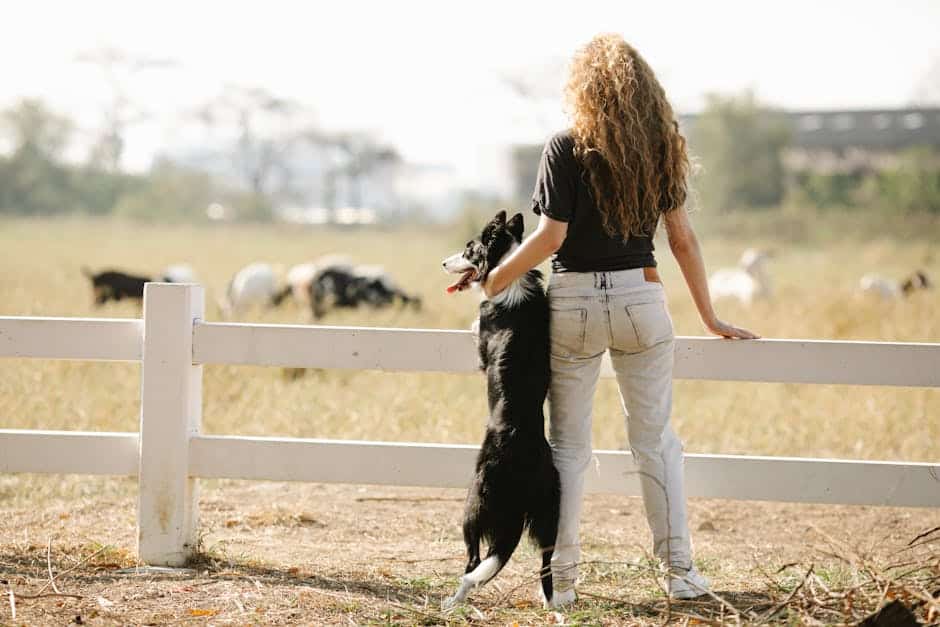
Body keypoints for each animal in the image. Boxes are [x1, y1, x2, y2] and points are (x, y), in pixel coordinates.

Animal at [440, 210, 560, 608]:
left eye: (468, 250)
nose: (443, 262)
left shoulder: (482, 348)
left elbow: (478, 327)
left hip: (474, 502)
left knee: (474, 560)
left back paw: (454, 600)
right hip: (549, 513)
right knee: (545, 563)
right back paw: (551, 602)